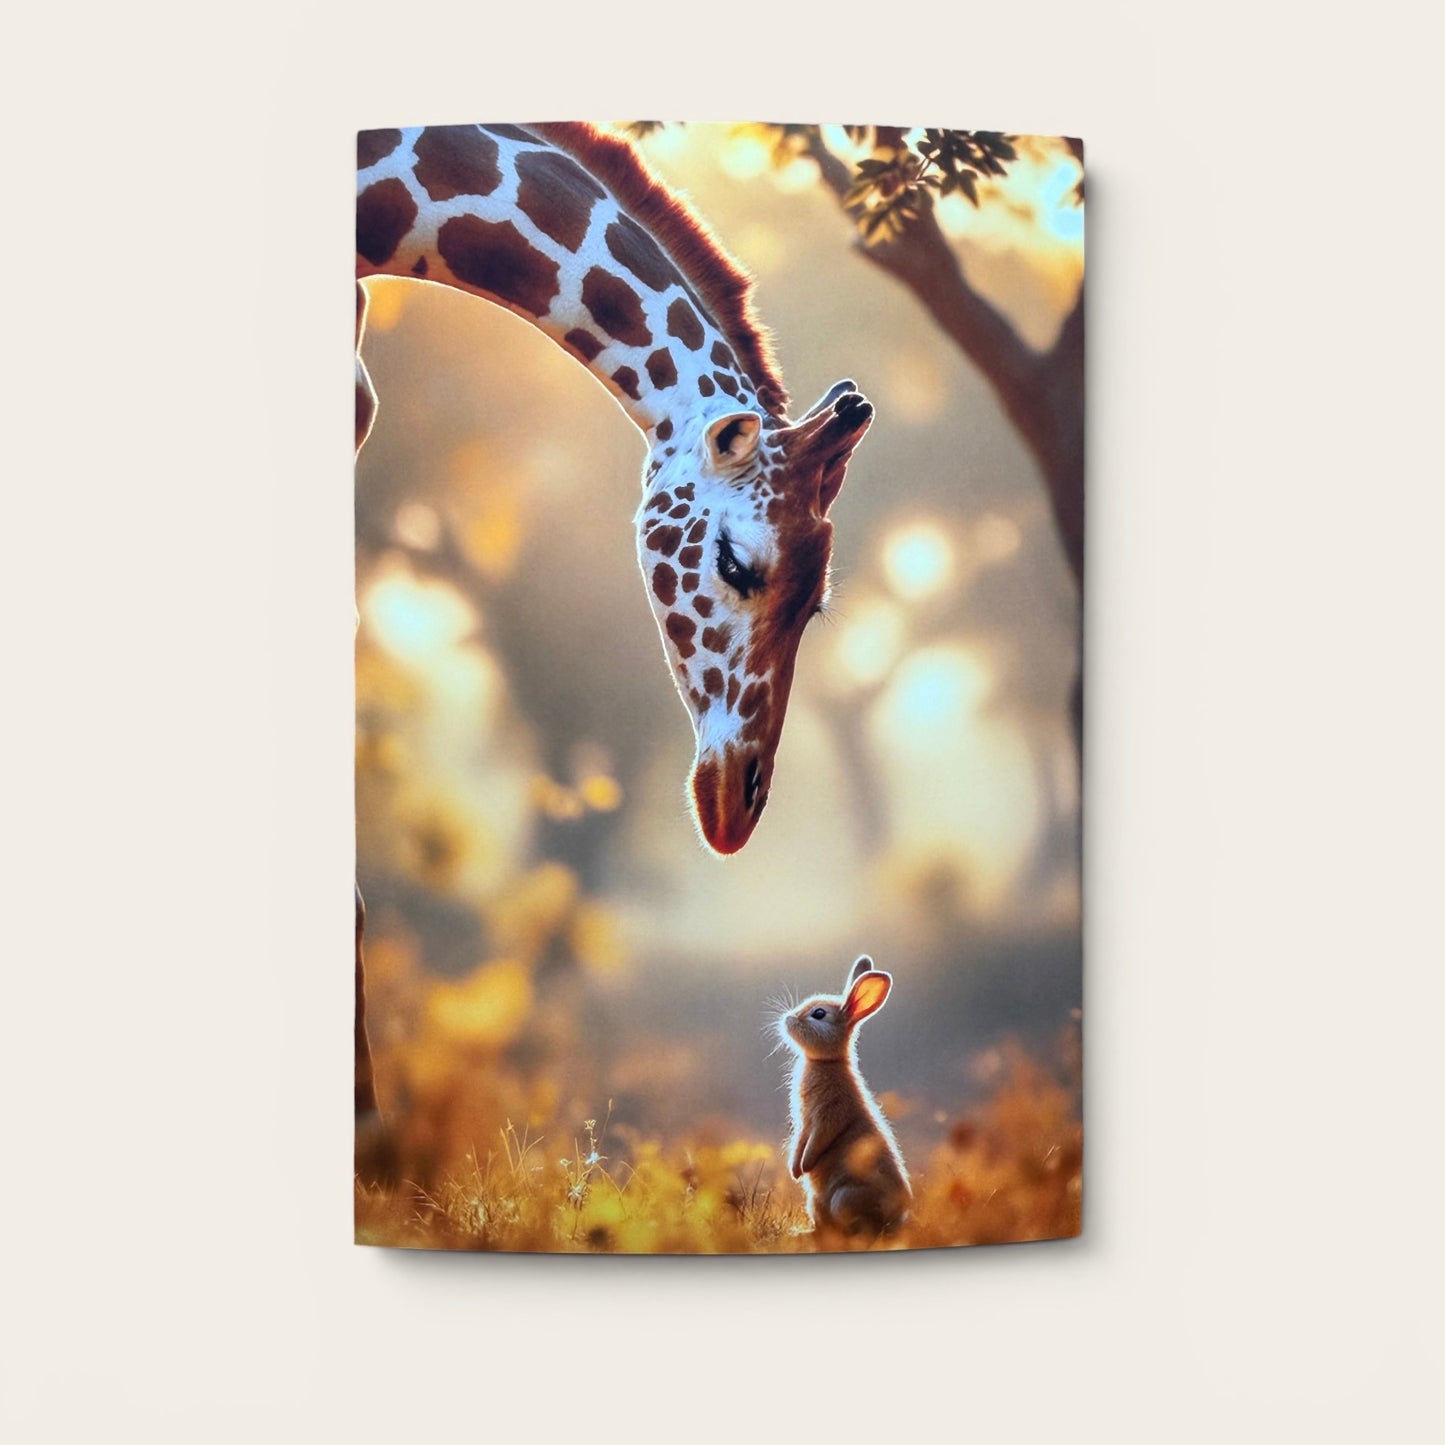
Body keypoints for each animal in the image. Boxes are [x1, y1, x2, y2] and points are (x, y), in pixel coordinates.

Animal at [777, 955, 912, 1239]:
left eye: (819, 1014)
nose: (787, 1019)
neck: (826, 1062)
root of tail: (897, 1218)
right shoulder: (803, 1123)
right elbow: (799, 1141)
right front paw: (796, 1170)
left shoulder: (829, 1114)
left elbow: (818, 1139)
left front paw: (804, 1166)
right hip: (815, 1202)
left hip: (844, 1198)